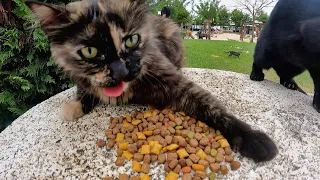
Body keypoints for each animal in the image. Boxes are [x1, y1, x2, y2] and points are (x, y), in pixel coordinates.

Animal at [25, 0, 278, 162]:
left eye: (131, 40)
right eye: (90, 51)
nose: (120, 71)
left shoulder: (174, 82)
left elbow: (212, 107)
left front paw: (252, 139)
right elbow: (84, 90)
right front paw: (75, 106)